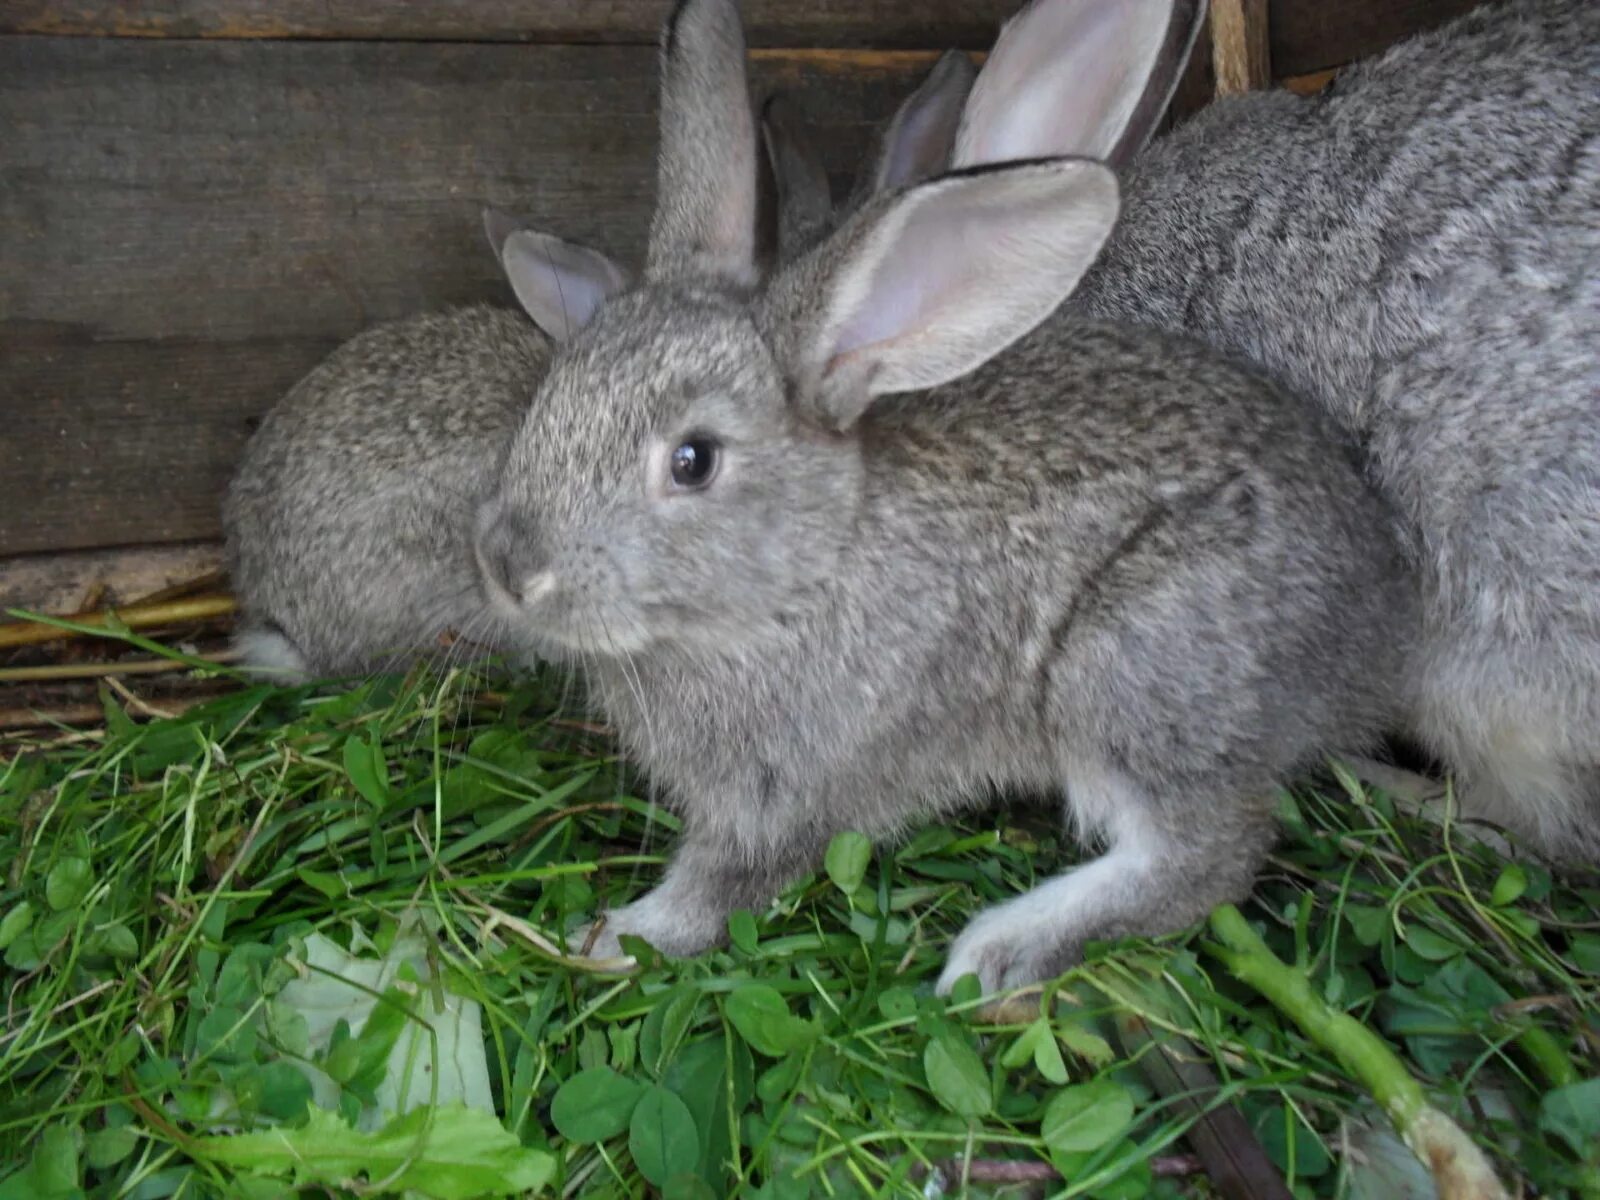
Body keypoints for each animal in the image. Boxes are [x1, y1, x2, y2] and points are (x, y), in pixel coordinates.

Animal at [473, 0, 1414, 998]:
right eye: (550, 392)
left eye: (693, 461)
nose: (509, 567)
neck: (806, 571)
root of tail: (1379, 626)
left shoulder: (787, 795)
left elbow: (722, 888)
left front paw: (611, 937)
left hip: (1134, 669)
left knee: (1206, 852)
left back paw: (999, 953)